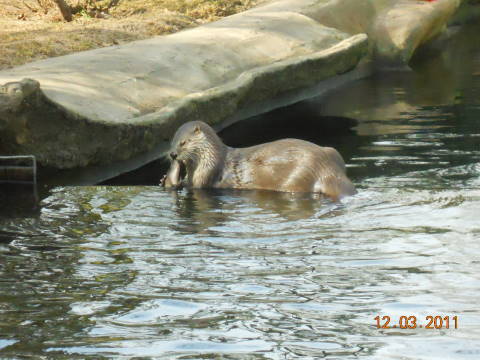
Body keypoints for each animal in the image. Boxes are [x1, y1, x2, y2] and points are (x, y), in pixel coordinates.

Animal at [161, 121, 356, 200]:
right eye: (171, 142)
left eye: (183, 142)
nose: (173, 154)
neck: (211, 156)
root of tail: (327, 170)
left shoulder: (206, 174)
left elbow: (193, 186)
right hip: (333, 152)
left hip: (297, 176)